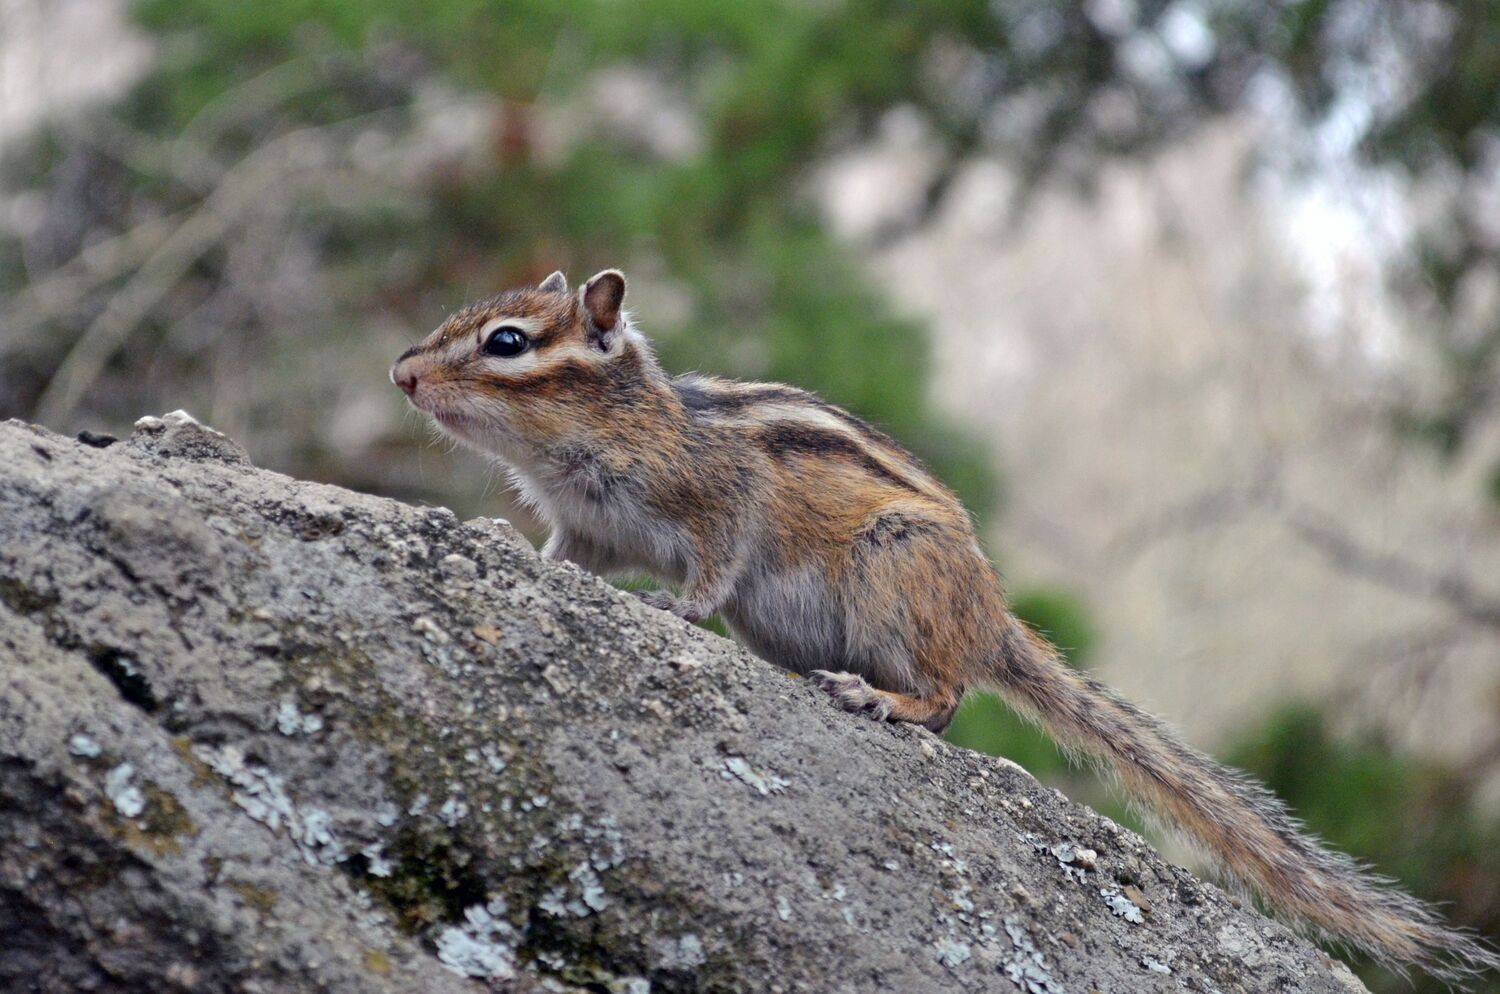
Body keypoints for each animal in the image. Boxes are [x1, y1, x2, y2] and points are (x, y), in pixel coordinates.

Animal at [392, 268, 1498, 985]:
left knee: (948, 698)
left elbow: (713, 566)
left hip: (894, 577)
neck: (611, 428)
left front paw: (672, 607)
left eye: (507, 342)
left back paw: (874, 696)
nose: (401, 374)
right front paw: (492, 539)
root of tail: (990, 619)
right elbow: (561, 560)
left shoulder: (721, 499)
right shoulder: (586, 527)